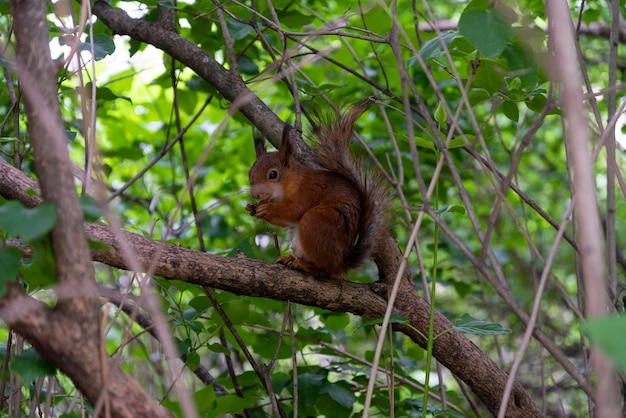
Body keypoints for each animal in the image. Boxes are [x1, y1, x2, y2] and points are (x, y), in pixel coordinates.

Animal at [245, 99, 386, 276]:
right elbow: (284, 221)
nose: (255, 195)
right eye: (250, 173)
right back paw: (290, 259)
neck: (290, 184)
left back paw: (304, 265)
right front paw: (252, 208)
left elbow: (294, 210)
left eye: (273, 174)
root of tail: (342, 263)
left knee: (324, 268)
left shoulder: (309, 190)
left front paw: (267, 209)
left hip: (316, 222)